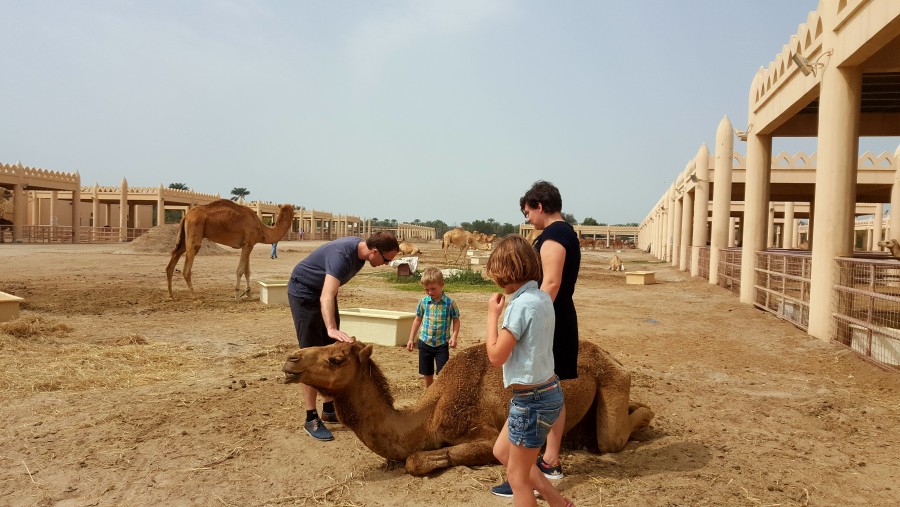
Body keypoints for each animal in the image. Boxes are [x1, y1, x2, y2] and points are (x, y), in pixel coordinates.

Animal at [165, 199, 296, 302]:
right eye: (293, 211)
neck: (262, 230)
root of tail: (186, 216)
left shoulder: (248, 244)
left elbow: (247, 271)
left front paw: (249, 294)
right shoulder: (248, 244)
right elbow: (240, 271)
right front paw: (237, 295)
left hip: (184, 238)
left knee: (172, 262)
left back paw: (171, 296)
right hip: (195, 230)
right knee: (187, 266)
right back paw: (195, 297)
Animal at [284, 342, 652, 476]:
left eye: (336, 358)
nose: (291, 359)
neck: (427, 419)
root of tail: (608, 355)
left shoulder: (482, 432)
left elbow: (417, 460)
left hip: (612, 379)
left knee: (612, 437)